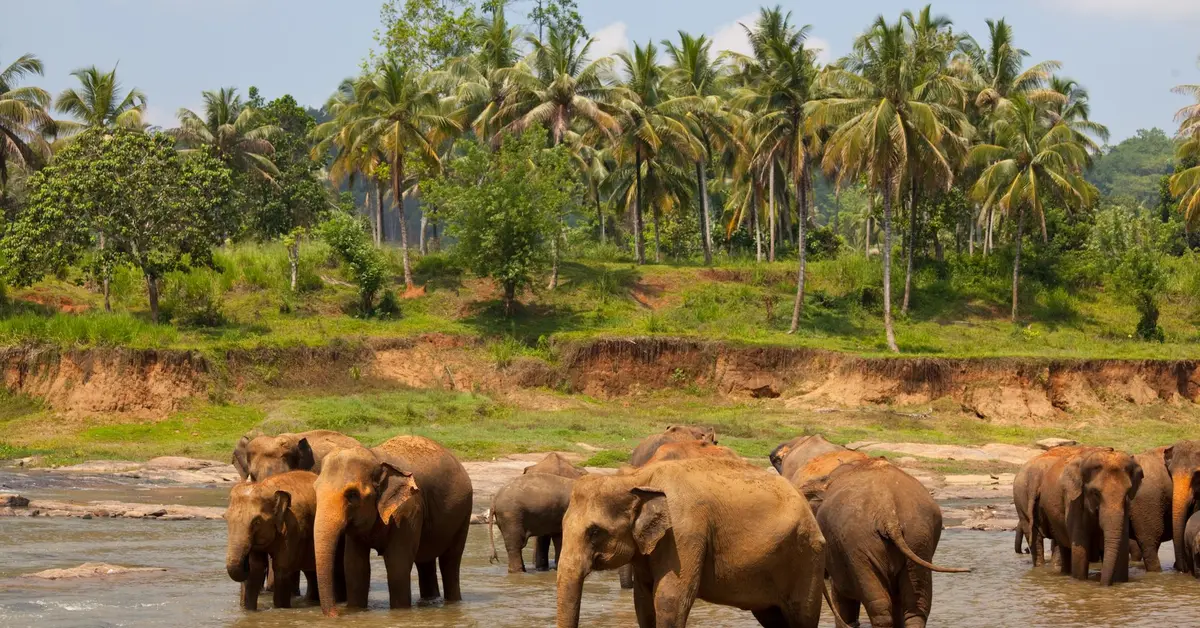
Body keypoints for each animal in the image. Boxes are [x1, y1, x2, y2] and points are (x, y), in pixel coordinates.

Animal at [225, 470, 328, 610]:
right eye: (225, 518)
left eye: (256, 522)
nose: (244, 560)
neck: (269, 488)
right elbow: (255, 569)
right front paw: (249, 611)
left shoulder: (293, 527)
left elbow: (281, 569)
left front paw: (281, 609)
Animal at [312, 435, 473, 617]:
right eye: (315, 490)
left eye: (352, 495)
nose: (335, 614)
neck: (375, 456)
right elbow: (355, 567)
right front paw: (356, 610)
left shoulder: (408, 510)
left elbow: (397, 564)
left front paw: (399, 613)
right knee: (425, 562)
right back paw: (429, 601)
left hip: (464, 514)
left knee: (450, 561)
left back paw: (453, 603)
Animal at [555, 457, 830, 628]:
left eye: (594, 532)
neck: (640, 476)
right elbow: (643, 601)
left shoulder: (684, 533)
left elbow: (669, 599)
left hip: (806, 556)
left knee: (802, 615)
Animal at [1035, 446, 1143, 585]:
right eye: (1096, 493)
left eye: (1127, 493)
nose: (1103, 584)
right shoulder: (1074, 500)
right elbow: (1080, 547)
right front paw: (1081, 582)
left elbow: (1122, 547)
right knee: (1064, 549)